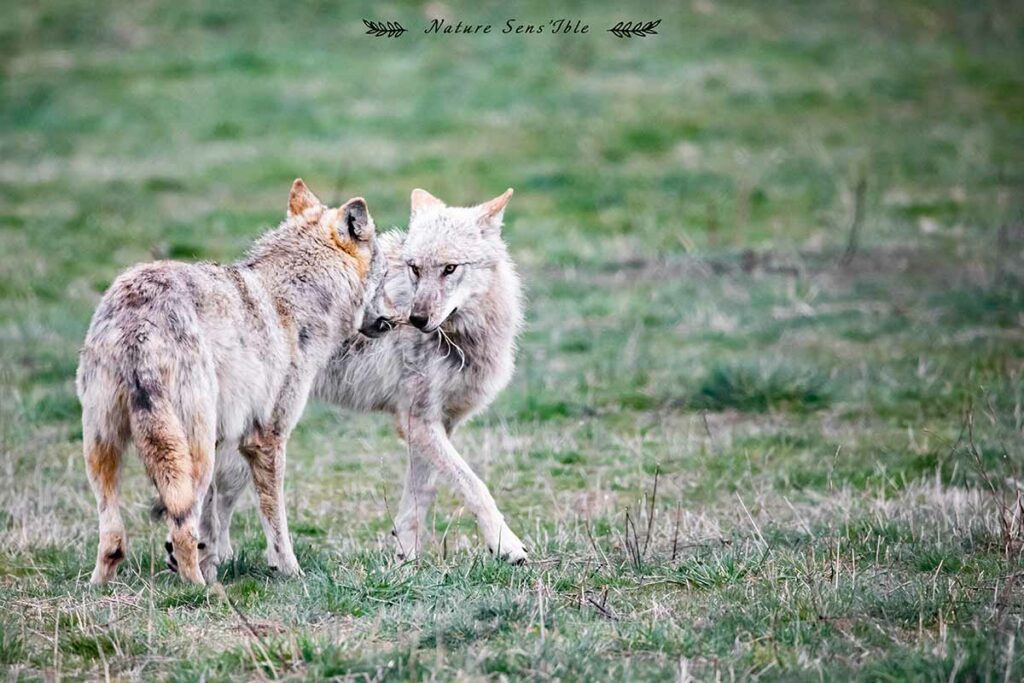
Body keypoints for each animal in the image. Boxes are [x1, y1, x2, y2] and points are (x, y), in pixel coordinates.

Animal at [77, 179, 389, 585]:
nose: (399, 318)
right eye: (386, 273)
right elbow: (275, 521)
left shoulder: (228, 441)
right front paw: (291, 571)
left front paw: (212, 562)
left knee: (114, 539)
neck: (296, 300)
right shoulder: (267, 439)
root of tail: (139, 319)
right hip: (192, 453)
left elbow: (212, 521)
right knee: (181, 528)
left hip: (104, 448)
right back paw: (199, 591)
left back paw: (99, 587)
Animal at [185, 187, 528, 568]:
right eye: (415, 269)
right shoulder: (416, 421)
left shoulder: (435, 424)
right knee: (221, 496)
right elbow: (474, 486)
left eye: (449, 269)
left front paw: (405, 557)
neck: (461, 339)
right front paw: (507, 545)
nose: (416, 318)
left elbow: (421, 494)